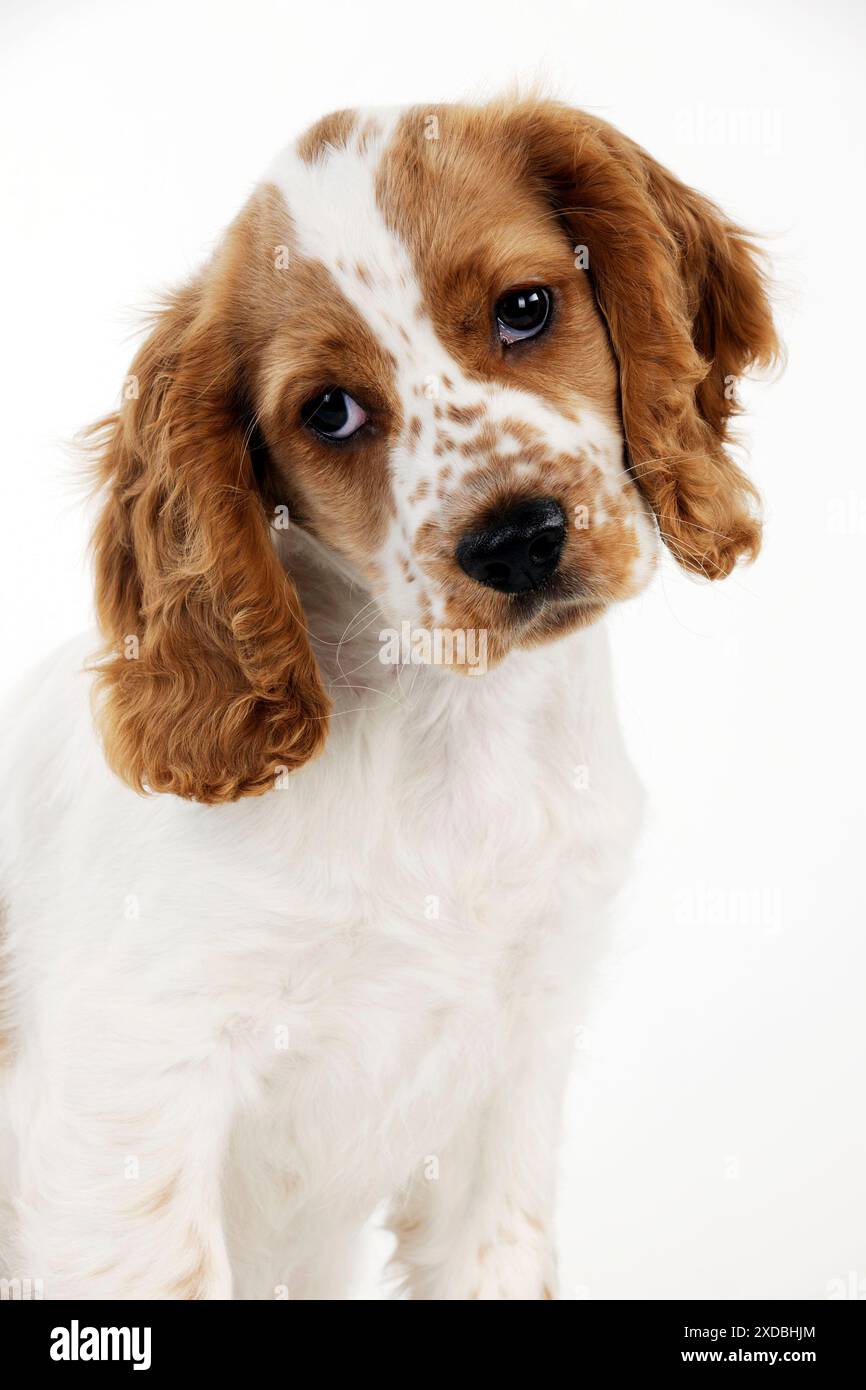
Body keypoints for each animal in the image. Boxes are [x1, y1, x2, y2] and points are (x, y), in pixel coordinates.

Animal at [0, 100, 778, 1301]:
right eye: (328, 411)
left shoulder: (512, 1067)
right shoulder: (129, 1092)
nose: (516, 538)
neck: (445, 730)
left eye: (525, 307)